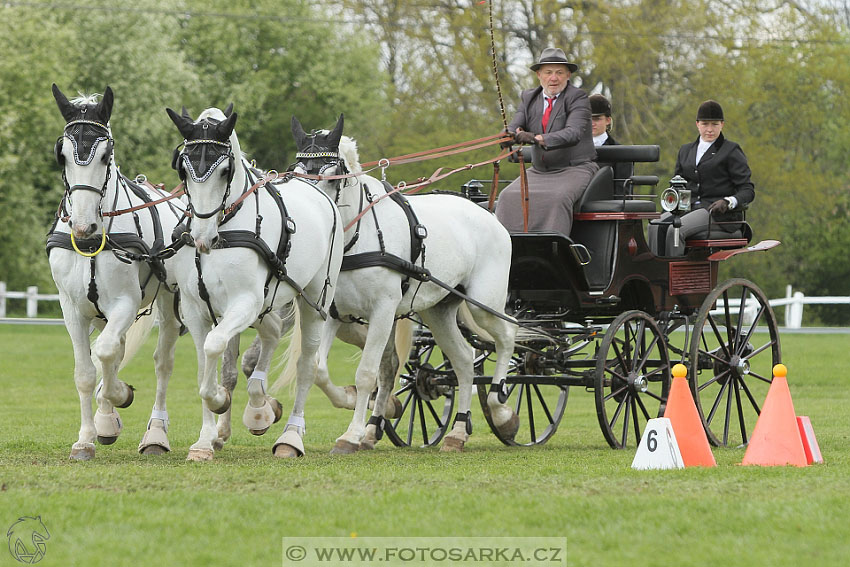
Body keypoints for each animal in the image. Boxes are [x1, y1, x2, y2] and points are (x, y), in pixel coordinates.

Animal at [48, 85, 185, 462]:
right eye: (61, 155)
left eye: (106, 155)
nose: (83, 227)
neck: (93, 244)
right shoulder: (72, 309)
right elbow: (86, 370)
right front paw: (86, 438)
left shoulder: (125, 303)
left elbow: (106, 353)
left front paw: (120, 394)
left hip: (168, 304)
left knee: (162, 363)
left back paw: (155, 434)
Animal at [166, 105, 342, 462]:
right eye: (184, 170)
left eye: (224, 171)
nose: (202, 238)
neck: (226, 225)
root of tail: (318, 193)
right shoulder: (196, 309)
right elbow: (206, 367)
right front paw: (205, 440)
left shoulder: (245, 302)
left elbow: (213, 347)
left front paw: (221, 400)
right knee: (270, 333)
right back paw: (260, 406)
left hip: (313, 302)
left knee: (307, 365)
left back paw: (291, 436)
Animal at [284, 115, 512, 452]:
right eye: (296, 175)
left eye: (333, 177)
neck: (357, 238)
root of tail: (488, 213)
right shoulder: (333, 313)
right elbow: (320, 369)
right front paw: (351, 402)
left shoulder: (382, 311)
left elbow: (367, 373)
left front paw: (352, 434)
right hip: (439, 311)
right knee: (463, 360)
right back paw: (457, 432)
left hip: (485, 305)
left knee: (507, 338)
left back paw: (502, 411)